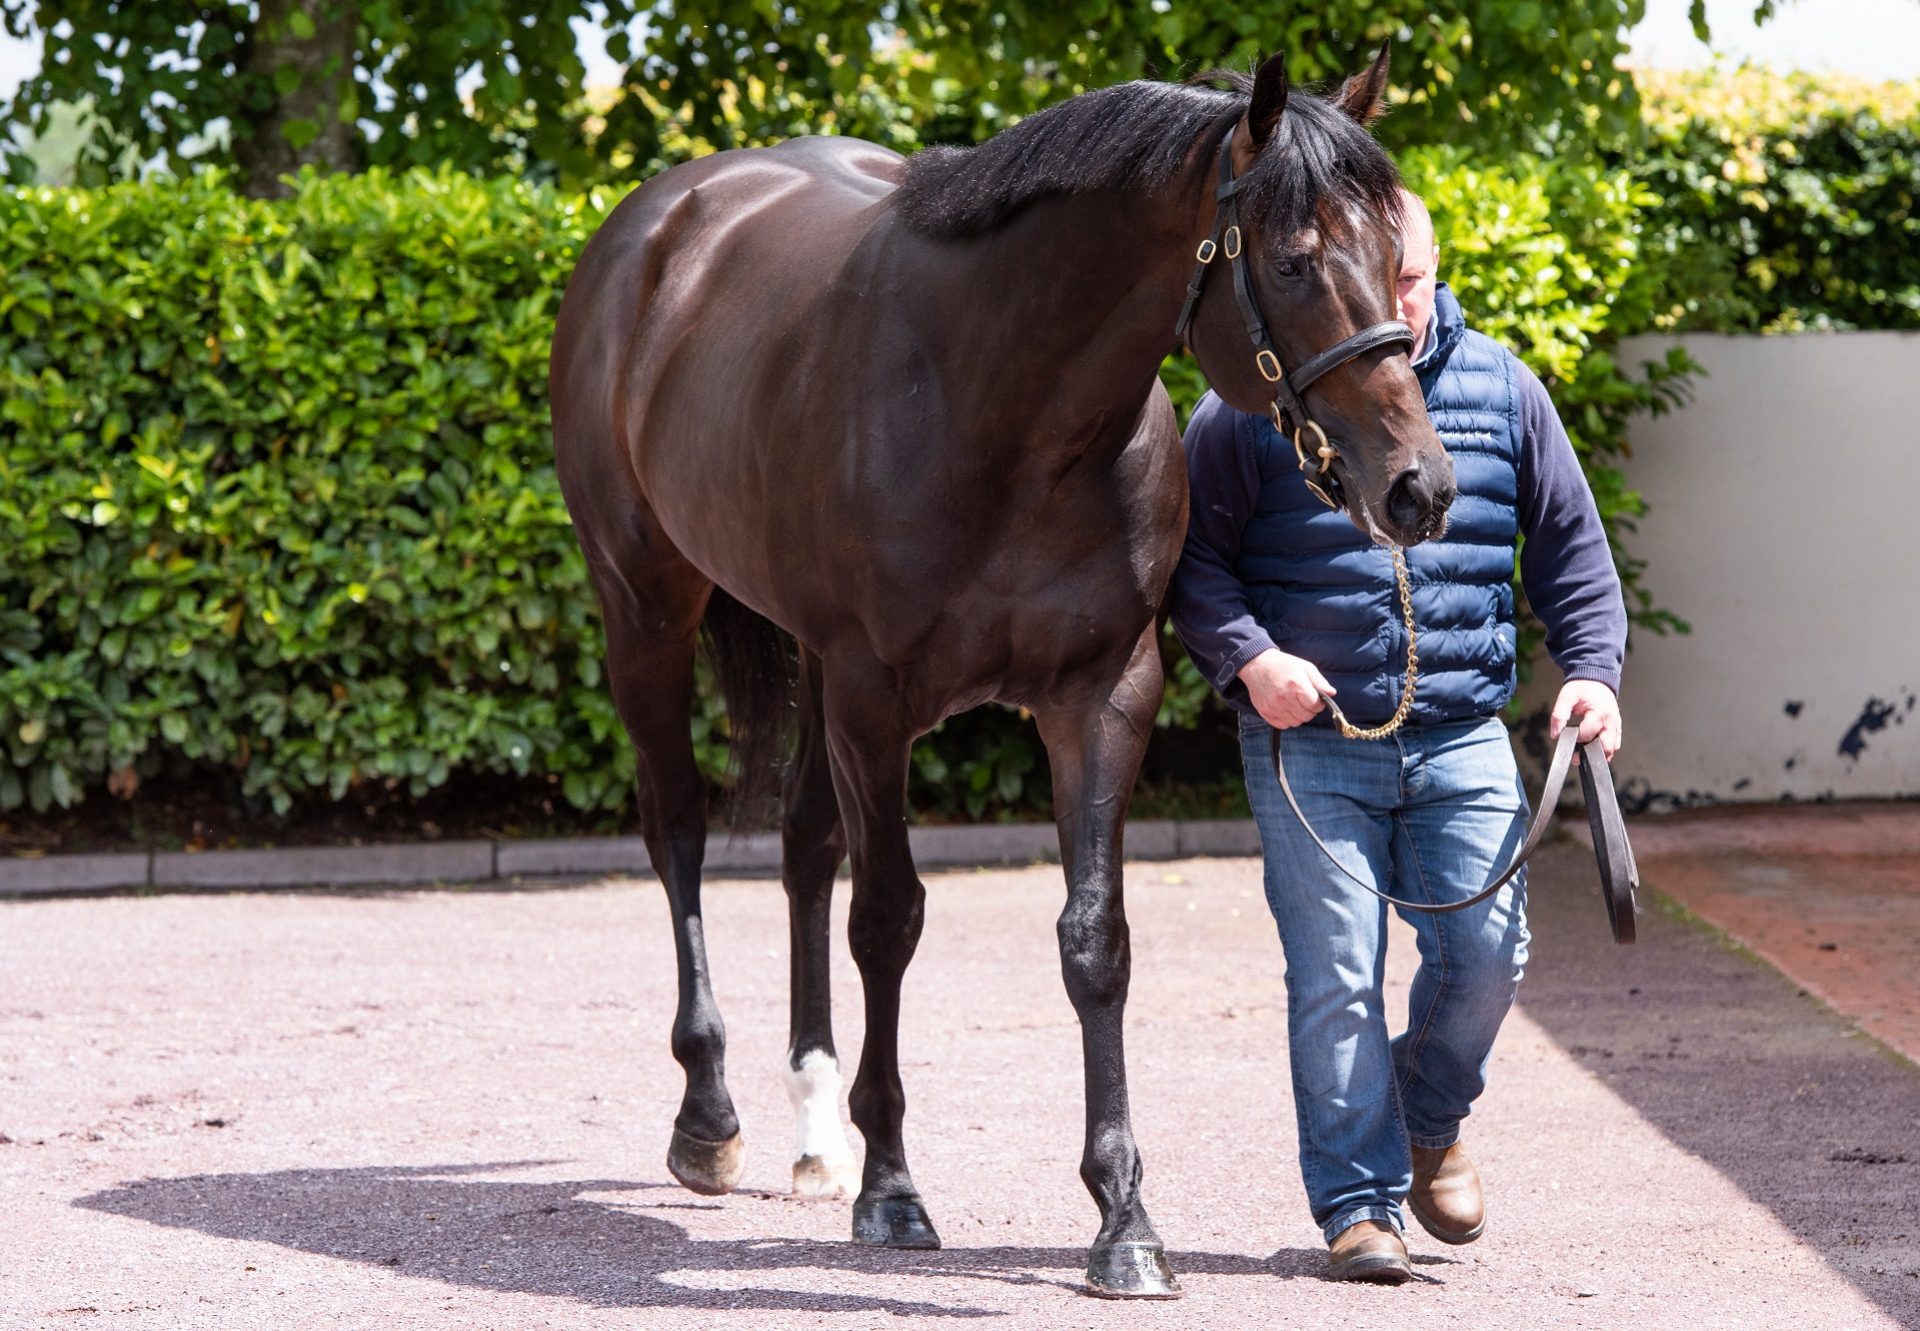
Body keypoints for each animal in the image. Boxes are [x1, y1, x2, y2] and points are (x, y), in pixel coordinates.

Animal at [552, 44, 1451, 1298]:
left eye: (1397, 260)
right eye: (1293, 258)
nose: (1418, 486)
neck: (1007, 411)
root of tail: (652, 229)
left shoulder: (1102, 696)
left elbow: (1094, 939)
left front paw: (1123, 1217)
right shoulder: (876, 700)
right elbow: (887, 919)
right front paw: (893, 1190)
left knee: (803, 842)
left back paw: (816, 1131)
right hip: (646, 605)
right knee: (678, 826)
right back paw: (711, 1117)